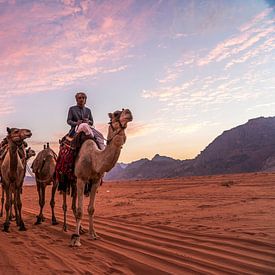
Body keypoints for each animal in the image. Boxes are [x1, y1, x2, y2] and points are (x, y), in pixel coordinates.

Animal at [70, 109, 133, 247]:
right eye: (116, 113)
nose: (129, 112)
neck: (94, 159)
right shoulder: (81, 179)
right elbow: (80, 211)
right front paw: (76, 240)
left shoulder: (95, 181)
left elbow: (91, 209)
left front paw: (93, 234)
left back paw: (81, 229)